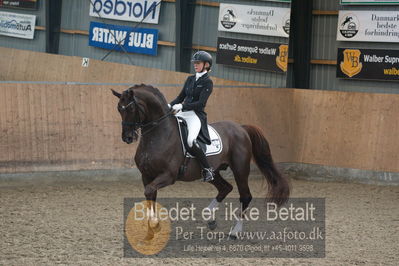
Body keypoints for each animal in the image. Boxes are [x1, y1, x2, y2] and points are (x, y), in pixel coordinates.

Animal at [112, 84, 290, 240]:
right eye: (119, 109)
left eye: (131, 109)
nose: (127, 137)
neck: (159, 134)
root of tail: (241, 128)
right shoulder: (147, 176)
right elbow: (150, 197)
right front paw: (151, 231)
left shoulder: (168, 176)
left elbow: (149, 191)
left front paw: (154, 226)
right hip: (213, 172)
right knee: (225, 188)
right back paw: (209, 218)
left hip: (240, 170)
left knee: (245, 196)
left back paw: (234, 232)